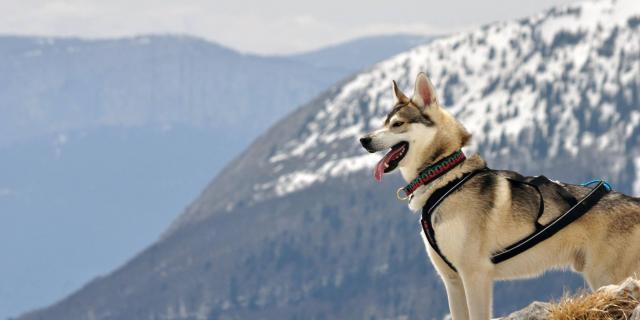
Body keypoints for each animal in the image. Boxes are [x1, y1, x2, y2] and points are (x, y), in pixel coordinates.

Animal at [358, 72, 640, 320]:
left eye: (397, 124)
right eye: (384, 122)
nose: (363, 139)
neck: (444, 179)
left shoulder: (475, 274)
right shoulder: (452, 280)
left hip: (607, 276)